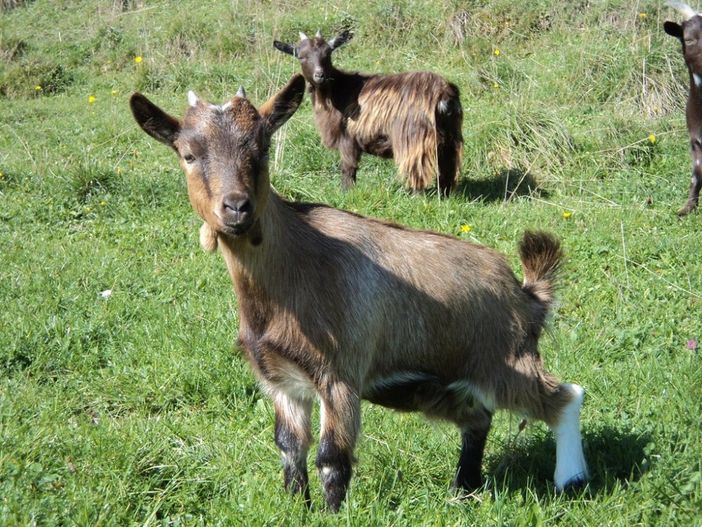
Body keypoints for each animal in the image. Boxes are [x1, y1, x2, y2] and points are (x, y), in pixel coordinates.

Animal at [131, 74, 588, 512]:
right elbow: (289, 449)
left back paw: (570, 480)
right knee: (477, 418)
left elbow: (332, 458)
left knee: (565, 396)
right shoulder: (281, 382)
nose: (236, 207)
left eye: (262, 147)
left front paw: (334, 513)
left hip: (505, 362)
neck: (291, 273)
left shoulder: (339, 375)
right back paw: (464, 489)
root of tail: (526, 295)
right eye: (188, 155)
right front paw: (297, 507)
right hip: (443, 385)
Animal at [276, 29, 468, 194]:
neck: (337, 90)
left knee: (417, 170)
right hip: (450, 137)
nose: (320, 75)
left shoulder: (348, 138)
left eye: (328, 54)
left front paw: (347, 193)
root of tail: (443, 93)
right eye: (301, 56)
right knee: (447, 169)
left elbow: (348, 168)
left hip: (414, 138)